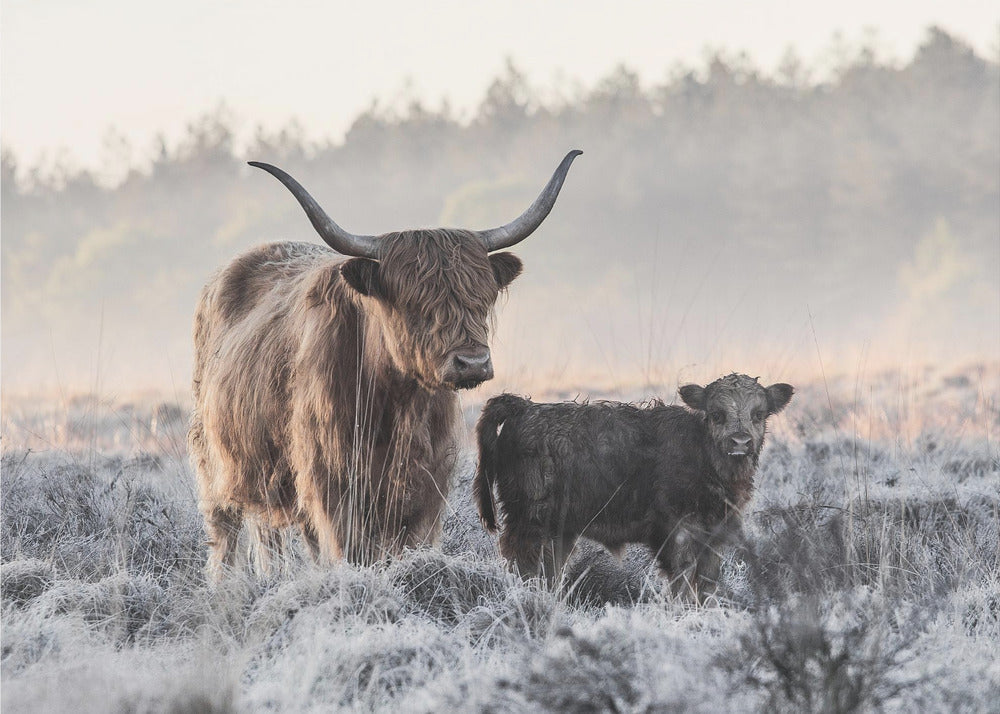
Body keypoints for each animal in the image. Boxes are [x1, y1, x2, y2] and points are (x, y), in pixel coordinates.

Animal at [189, 150, 582, 580]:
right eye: (414, 303)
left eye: (481, 298)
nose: (472, 362)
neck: (397, 404)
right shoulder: (332, 485)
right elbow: (350, 551)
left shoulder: (427, 488)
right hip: (215, 463)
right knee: (225, 534)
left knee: (272, 535)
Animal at [474, 374, 793, 599]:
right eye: (717, 414)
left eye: (759, 414)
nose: (740, 442)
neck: (703, 452)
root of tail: (524, 408)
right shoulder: (677, 532)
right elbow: (683, 581)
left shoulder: (714, 536)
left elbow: (707, 584)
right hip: (529, 520)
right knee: (523, 564)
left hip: (559, 531)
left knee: (550, 570)